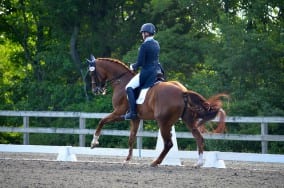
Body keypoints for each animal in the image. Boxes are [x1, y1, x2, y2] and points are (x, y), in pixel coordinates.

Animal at [87, 56, 227, 167]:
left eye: (92, 74)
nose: (96, 90)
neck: (122, 81)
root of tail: (182, 91)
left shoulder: (119, 113)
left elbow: (101, 121)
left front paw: (94, 143)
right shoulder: (135, 118)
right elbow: (131, 138)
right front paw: (127, 160)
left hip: (163, 122)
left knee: (169, 143)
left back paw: (155, 162)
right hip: (187, 120)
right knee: (198, 138)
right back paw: (199, 163)